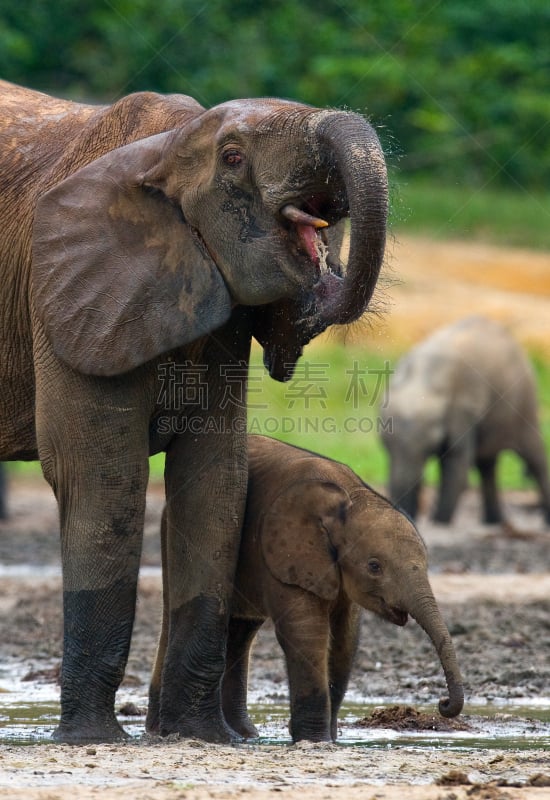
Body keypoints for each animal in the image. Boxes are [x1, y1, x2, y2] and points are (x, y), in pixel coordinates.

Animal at [0, 81, 390, 744]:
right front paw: (93, 740)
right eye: (233, 158)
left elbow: (215, 482)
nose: (320, 277)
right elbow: (104, 481)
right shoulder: (64, 299)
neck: (168, 147)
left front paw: (199, 735)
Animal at [150, 434, 466, 740]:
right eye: (374, 566)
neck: (351, 497)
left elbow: (345, 639)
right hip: (174, 530)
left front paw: (330, 738)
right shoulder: (287, 553)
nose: (443, 704)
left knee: (242, 629)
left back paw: (244, 734)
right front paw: (315, 740)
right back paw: (162, 729)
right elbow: (306, 632)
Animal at [380, 316, 550, 528]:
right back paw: (492, 522)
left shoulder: (461, 410)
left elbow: (457, 465)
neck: (422, 380)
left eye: (430, 444)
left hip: (524, 400)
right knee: (486, 465)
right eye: (385, 446)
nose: (411, 517)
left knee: (535, 458)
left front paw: (439, 523)